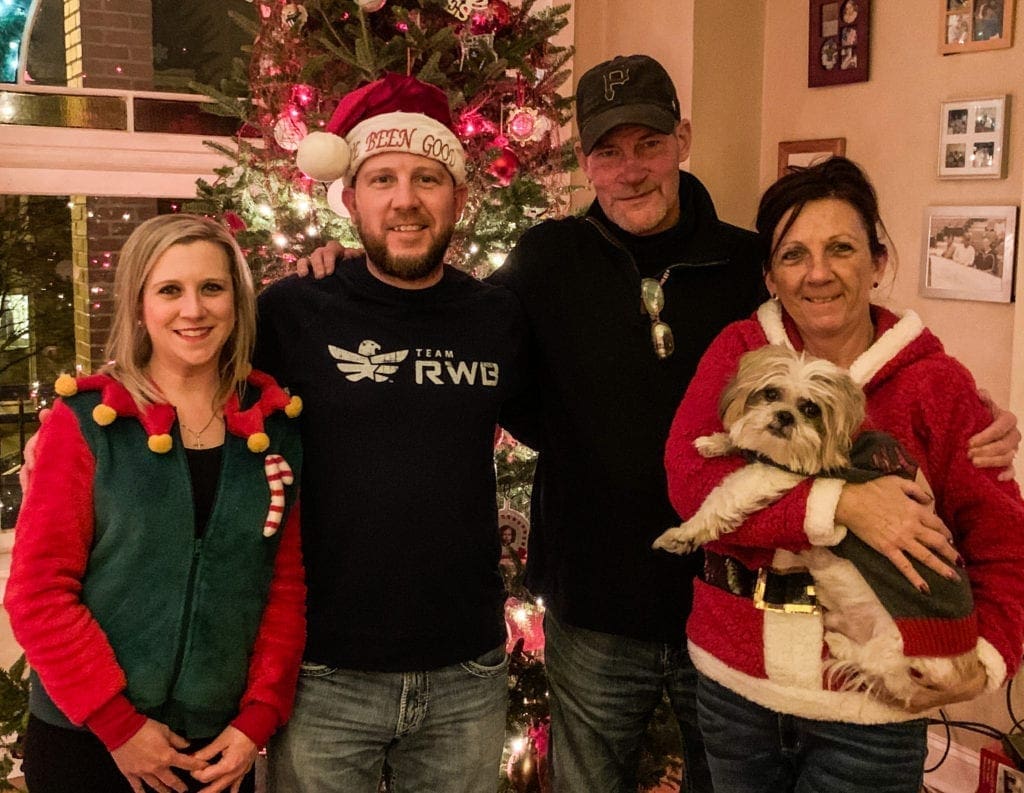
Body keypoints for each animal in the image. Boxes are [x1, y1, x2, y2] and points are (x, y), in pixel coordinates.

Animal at [651, 348, 978, 708]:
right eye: (771, 394)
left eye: (810, 409)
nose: (784, 416)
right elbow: (746, 439)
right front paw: (718, 441)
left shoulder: (777, 474)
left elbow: (726, 494)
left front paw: (684, 533)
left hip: (898, 647)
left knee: (882, 669)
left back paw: (840, 645)